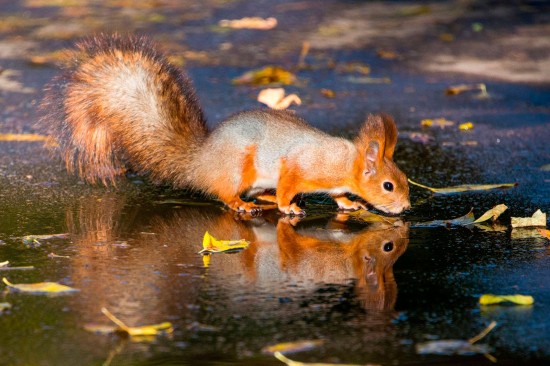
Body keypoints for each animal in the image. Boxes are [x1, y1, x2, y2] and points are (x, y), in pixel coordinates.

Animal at [41, 33, 412, 214]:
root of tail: (199, 163)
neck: (344, 161)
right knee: (225, 194)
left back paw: (262, 199)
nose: (407, 207)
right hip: (236, 168)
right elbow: (289, 183)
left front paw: (349, 203)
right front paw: (288, 206)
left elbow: (338, 194)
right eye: (388, 186)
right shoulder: (299, 164)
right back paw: (245, 204)